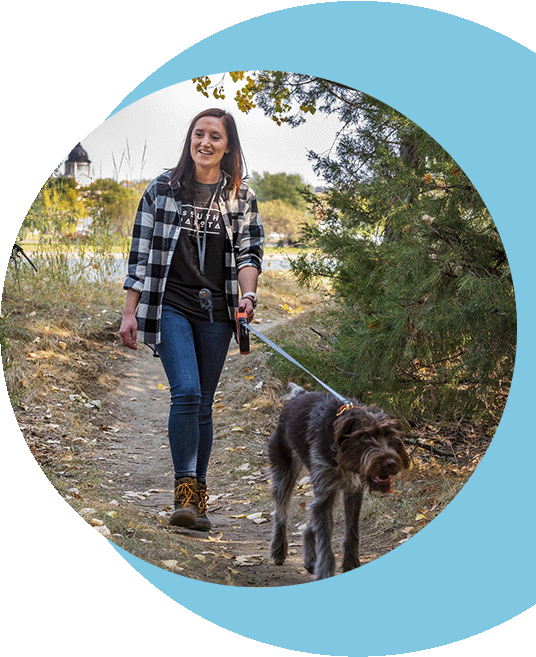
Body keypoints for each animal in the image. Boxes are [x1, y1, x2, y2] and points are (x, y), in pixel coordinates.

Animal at [268, 384, 410, 580]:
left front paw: (351, 564)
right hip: (284, 471)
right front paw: (325, 571)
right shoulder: (326, 492)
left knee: (309, 522)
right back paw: (279, 549)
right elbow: (325, 538)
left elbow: (352, 531)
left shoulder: (353, 491)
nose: (391, 463)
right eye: (365, 436)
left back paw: (310, 559)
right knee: (281, 511)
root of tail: (300, 394)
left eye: (390, 435)